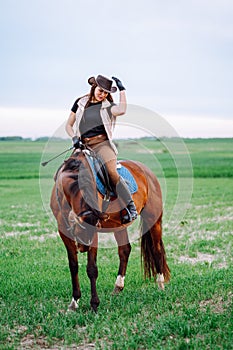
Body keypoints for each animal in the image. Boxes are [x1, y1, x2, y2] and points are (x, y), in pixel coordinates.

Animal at [50, 148, 169, 312]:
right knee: (125, 250)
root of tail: (147, 172)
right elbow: (73, 266)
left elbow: (91, 269)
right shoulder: (63, 231)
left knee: (156, 249)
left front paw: (94, 304)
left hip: (153, 219)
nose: (83, 248)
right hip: (119, 225)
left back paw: (160, 284)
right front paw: (74, 302)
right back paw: (118, 287)